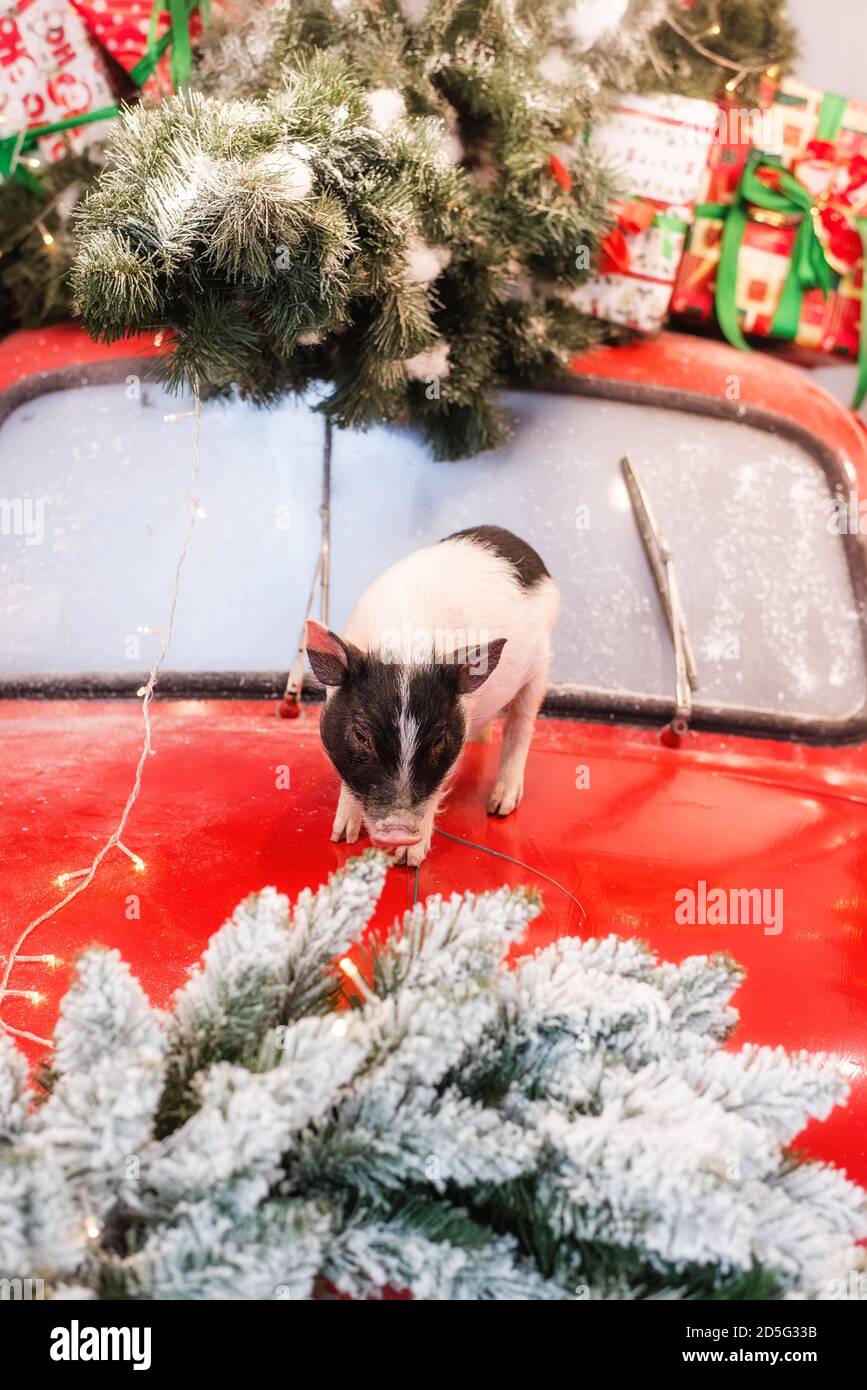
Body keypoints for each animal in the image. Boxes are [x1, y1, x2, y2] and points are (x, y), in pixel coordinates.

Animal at [308, 525, 558, 861]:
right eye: (361, 736)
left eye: (439, 739)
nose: (398, 831)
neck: (404, 644)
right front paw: (341, 838)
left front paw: (408, 860)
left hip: (541, 667)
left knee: (521, 725)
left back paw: (499, 807)